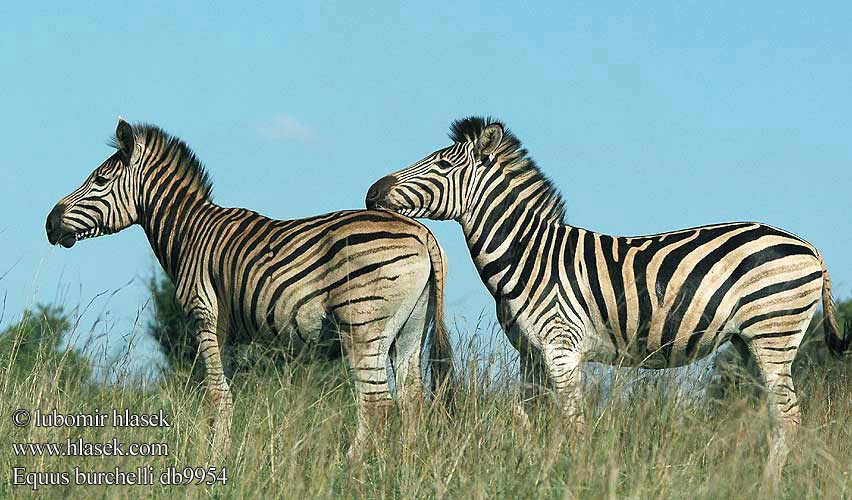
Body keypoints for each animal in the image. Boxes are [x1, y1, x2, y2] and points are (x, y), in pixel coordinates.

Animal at [45, 116, 452, 458]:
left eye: (99, 181)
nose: (49, 223)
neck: (188, 232)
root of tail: (422, 233)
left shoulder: (205, 317)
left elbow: (216, 394)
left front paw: (215, 460)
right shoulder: (230, 333)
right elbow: (226, 393)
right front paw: (224, 453)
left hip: (362, 326)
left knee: (376, 403)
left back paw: (352, 466)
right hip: (411, 328)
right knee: (412, 398)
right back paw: (402, 468)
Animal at [364, 115, 844, 478]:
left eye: (443, 165)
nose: (371, 192)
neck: (528, 254)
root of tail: (808, 245)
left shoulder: (561, 348)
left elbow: (572, 425)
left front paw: (574, 476)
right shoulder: (530, 352)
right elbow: (531, 418)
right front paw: (536, 470)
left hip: (773, 331)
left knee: (789, 417)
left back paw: (770, 482)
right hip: (748, 341)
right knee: (775, 416)